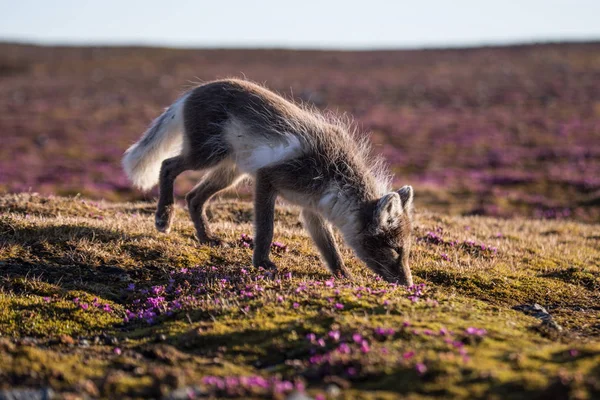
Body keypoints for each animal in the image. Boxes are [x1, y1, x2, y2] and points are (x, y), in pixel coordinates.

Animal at [122, 79, 412, 284]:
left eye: (406, 251)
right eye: (395, 250)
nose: (408, 284)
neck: (335, 174)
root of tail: (190, 93)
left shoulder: (311, 209)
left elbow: (329, 247)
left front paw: (343, 275)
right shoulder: (267, 178)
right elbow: (266, 228)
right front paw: (262, 263)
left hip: (229, 171)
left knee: (193, 197)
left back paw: (207, 238)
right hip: (206, 155)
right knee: (167, 166)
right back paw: (163, 217)